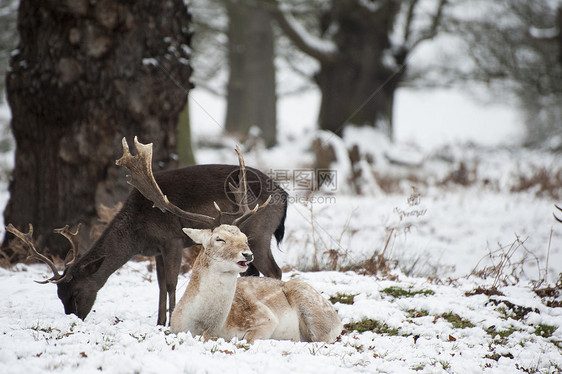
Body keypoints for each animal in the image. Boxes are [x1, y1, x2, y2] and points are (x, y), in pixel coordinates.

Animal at [3, 137, 284, 324]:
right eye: (59, 295)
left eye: (77, 292)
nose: (73, 318)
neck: (138, 235)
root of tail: (285, 195)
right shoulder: (157, 249)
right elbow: (159, 285)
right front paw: (159, 323)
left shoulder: (172, 240)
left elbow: (171, 283)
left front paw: (170, 322)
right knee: (256, 273)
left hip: (260, 235)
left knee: (275, 271)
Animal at [168, 224, 342, 344]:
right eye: (219, 239)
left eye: (245, 239)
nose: (248, 254)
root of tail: (339, 321)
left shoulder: (265, 318)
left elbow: (249, 339)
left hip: (312, 309)